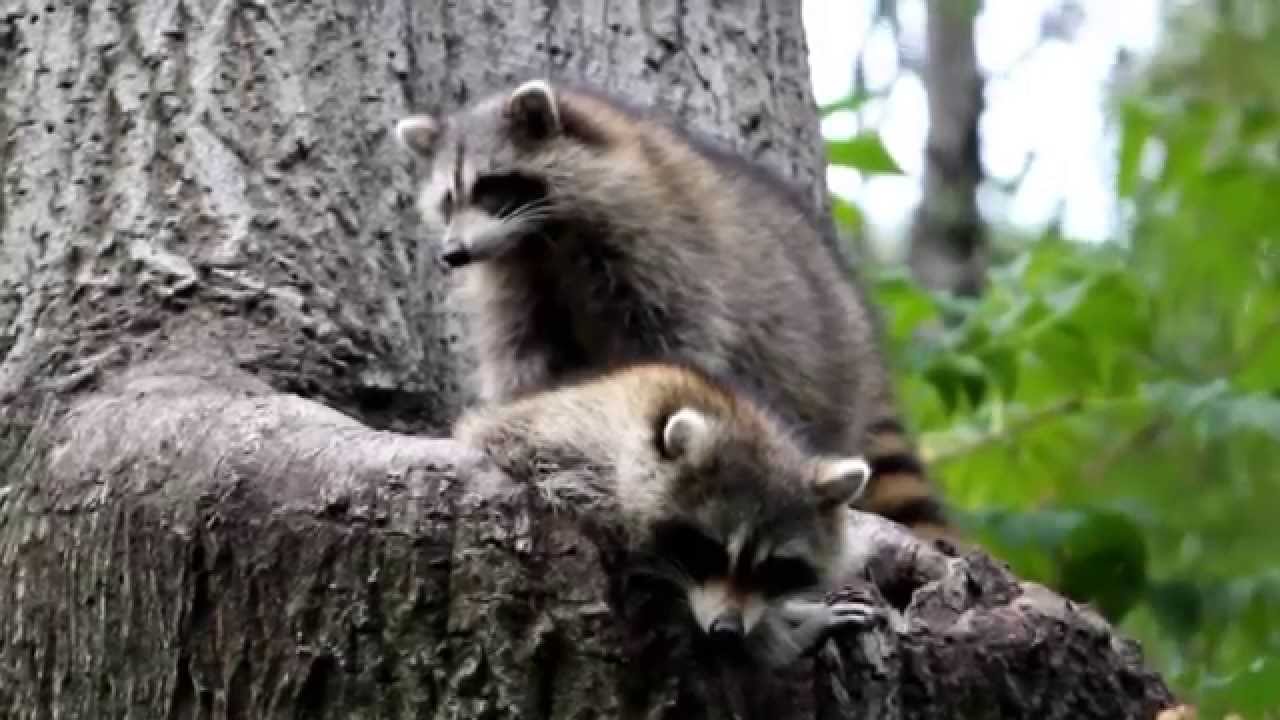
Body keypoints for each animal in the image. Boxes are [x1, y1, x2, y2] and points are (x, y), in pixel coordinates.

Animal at [396, 79, 949, 538]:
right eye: (447, 201)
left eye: (490, 187)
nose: (452, 254)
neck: (539, 238)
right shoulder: (515, 281)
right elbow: (523, 358)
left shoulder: (662, 246)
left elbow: (674, 346)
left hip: (814, 362)